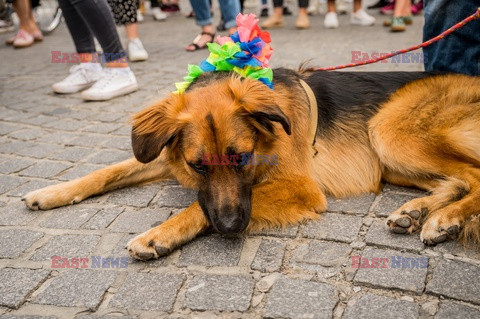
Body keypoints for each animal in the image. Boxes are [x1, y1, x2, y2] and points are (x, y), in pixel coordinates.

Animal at [21, 68, 480, 260]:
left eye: (240, 158)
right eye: (198, 166)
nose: (229, 228)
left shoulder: (300, 187)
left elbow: (196, 207)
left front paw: (159, 234)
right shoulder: (170, 159)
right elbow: (108, 171)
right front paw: (52, 191)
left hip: (387, 131)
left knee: (473, 174)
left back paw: (445, 219)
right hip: (392, 157)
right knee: (457, 178)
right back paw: (417, 212)